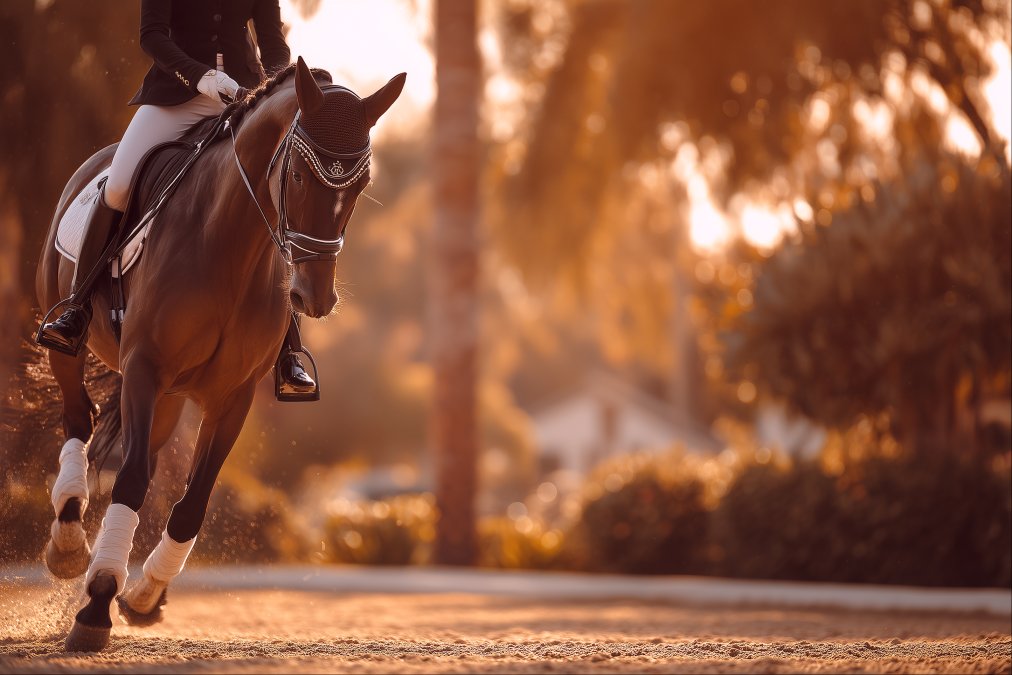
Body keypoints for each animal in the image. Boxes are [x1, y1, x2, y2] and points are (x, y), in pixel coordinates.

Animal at [34, 56, 405, 651]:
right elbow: (132, 480)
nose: (315, 298)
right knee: (78, 420)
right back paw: (68, 547)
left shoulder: (232, 395)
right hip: (71, 349)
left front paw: (141, 595)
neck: (231, 243)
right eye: (297, 176)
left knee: (142, 456)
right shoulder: (145, 367)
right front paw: (94, 608)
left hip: (167, 399)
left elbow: (191, 503)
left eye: (362, 183)